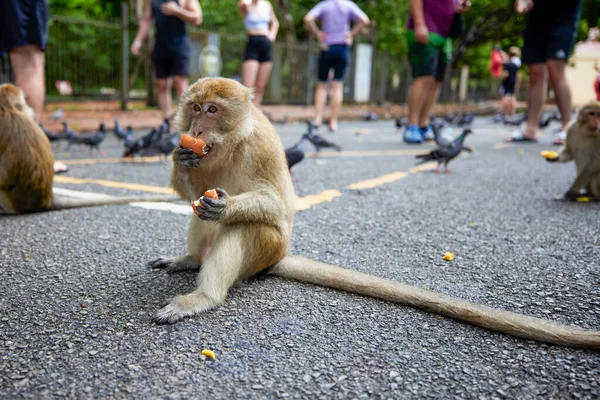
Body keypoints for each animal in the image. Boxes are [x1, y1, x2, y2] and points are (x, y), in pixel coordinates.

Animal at [149, 77, 600, 346]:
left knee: (241, 228)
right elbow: (190, 191)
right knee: (198, 214)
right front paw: (180, 157)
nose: (196, 129)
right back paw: (192, 259)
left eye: (213, 111)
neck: (229, 142)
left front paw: (225, 204)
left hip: (267, 250)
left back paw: (204, 296)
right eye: (195, 109)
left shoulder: (259, 144)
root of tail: (278, 258)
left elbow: (274, 201)